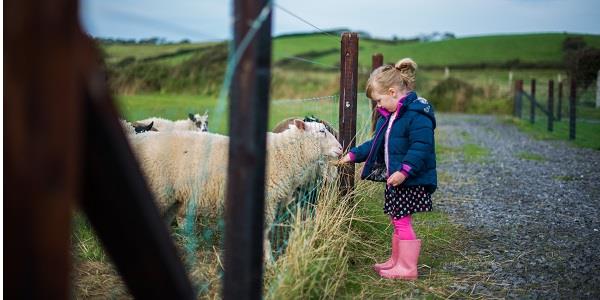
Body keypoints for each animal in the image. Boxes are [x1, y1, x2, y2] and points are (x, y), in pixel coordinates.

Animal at [127, 118, 342, 262]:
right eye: (322, 132)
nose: (341, 148)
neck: (284, 154)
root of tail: (138, 139)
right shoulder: (265, 202)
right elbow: (264, 235)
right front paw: (269, 262)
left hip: (168, 198)